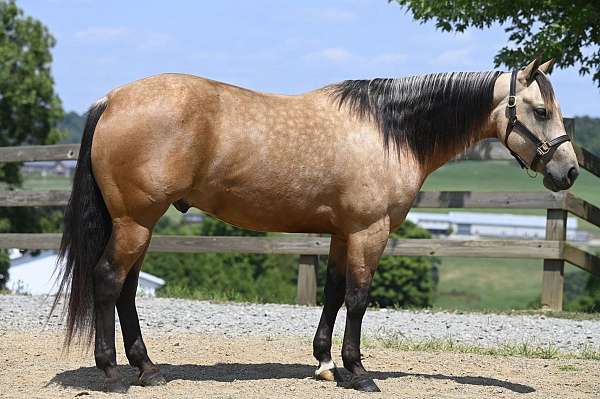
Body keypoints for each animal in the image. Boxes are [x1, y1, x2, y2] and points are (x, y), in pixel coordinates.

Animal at [54, 57, 580, 394]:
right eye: (540, 110)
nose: (570, 172)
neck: (388, 130)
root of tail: (112, 99)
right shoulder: (370, 231)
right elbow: (359, 298)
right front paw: (359, 372)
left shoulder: (343, 232)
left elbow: (332, 292)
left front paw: (326, 364)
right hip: (135, 221)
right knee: (108, 281)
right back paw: (112, 375)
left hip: (139, 223)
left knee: (126, 289)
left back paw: (148, 369)